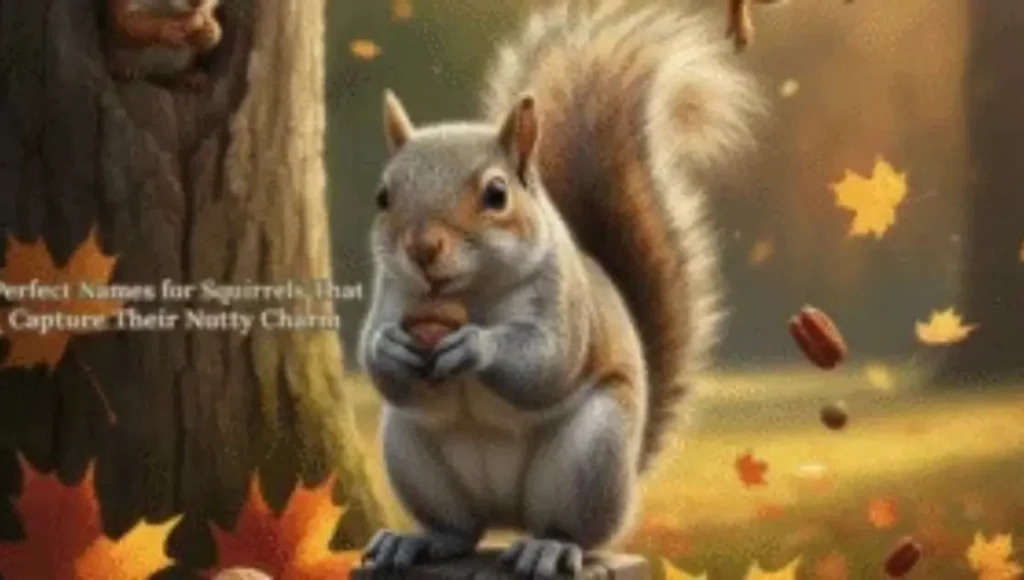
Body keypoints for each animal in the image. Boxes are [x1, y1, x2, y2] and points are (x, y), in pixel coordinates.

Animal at [359, 1, 762, 577]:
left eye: (497, 194)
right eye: (383, 196)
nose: (422, 249)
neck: (470, 295)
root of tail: (507, 516)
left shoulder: (563, 303)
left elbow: (547, 364)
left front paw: (478, 344)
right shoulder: (392, 292)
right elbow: (381, 368)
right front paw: (390, 346)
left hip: (590, 458)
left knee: (576, 530)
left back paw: (548, 547)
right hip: (413, 454)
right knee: (458, 529)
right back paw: (417, 541)